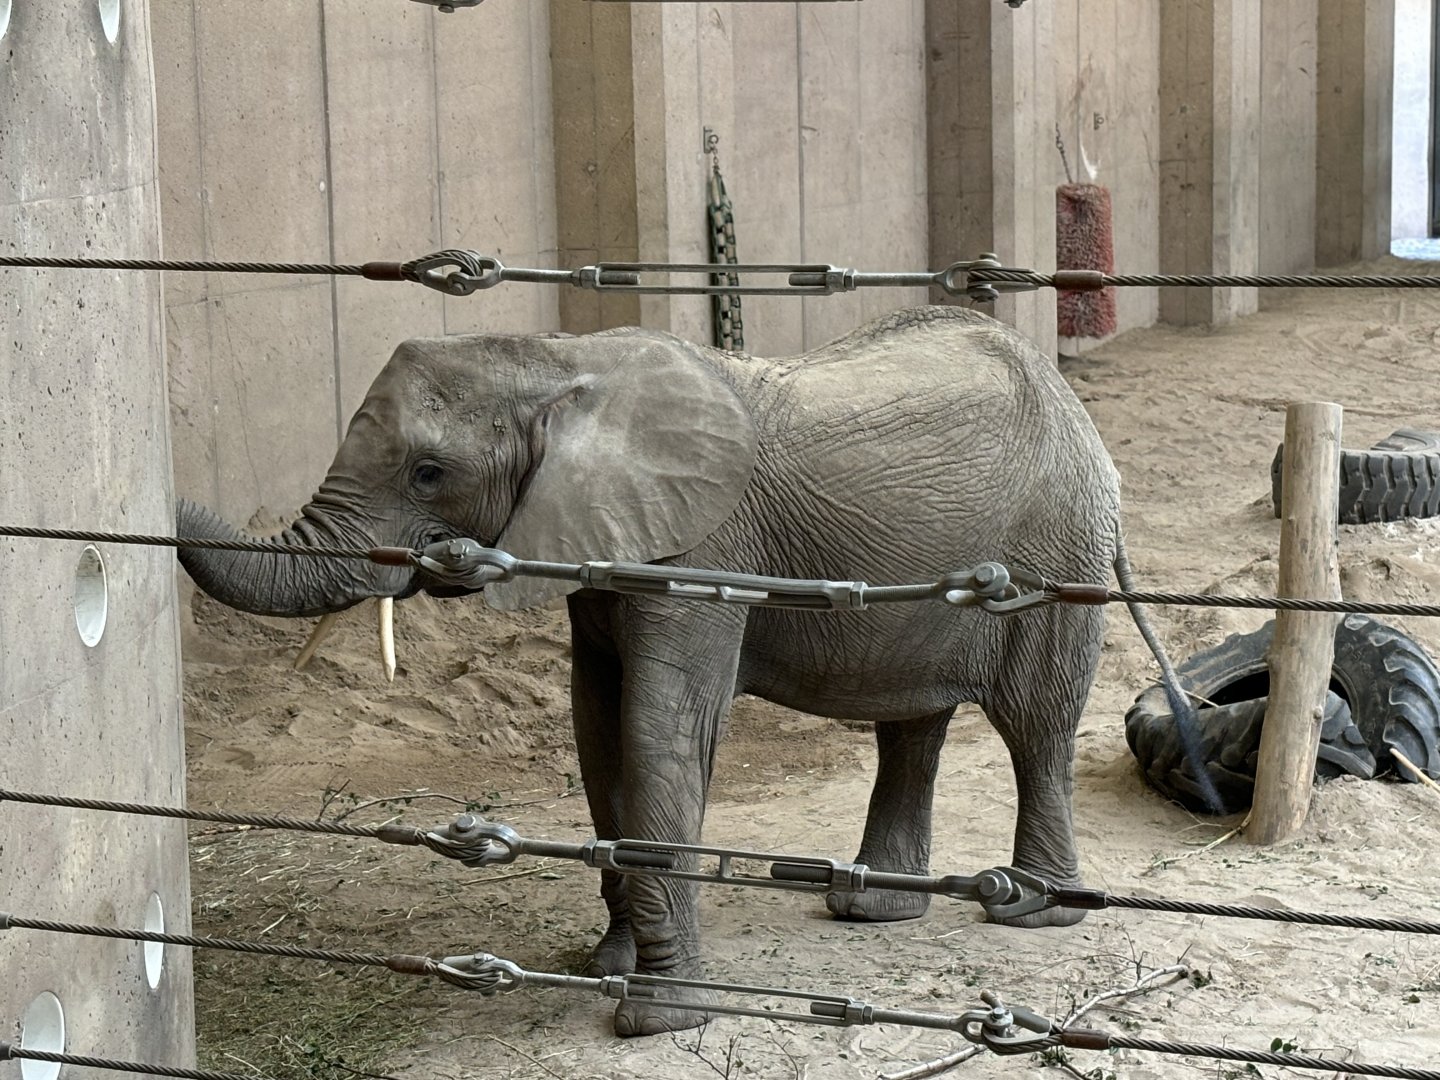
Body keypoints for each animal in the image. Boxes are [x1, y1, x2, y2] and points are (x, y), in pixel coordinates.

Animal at [176, 305, 1204, 1037]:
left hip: (1054, 555)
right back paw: (869, 909)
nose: (175, 489)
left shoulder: (699, 553)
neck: (558, 359)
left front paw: (655, 1015)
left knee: (1035, 726)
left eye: (429, 472)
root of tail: (1074, 406)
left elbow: (658, 726)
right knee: (911, 722)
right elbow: (597, 726)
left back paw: (1031, 913)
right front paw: (610, 964)